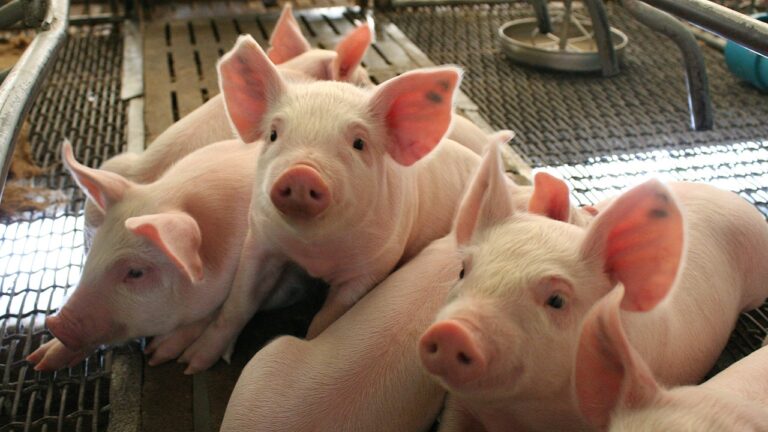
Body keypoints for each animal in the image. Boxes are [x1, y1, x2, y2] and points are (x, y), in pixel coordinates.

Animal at [176, 34, 495, 374]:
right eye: (274, 134)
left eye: (359, 143)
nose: (301, 172)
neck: (314, 252)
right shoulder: (260, 240)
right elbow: (237, 304)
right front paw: (190, 365)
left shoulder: (372, 267)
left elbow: (324, 321)